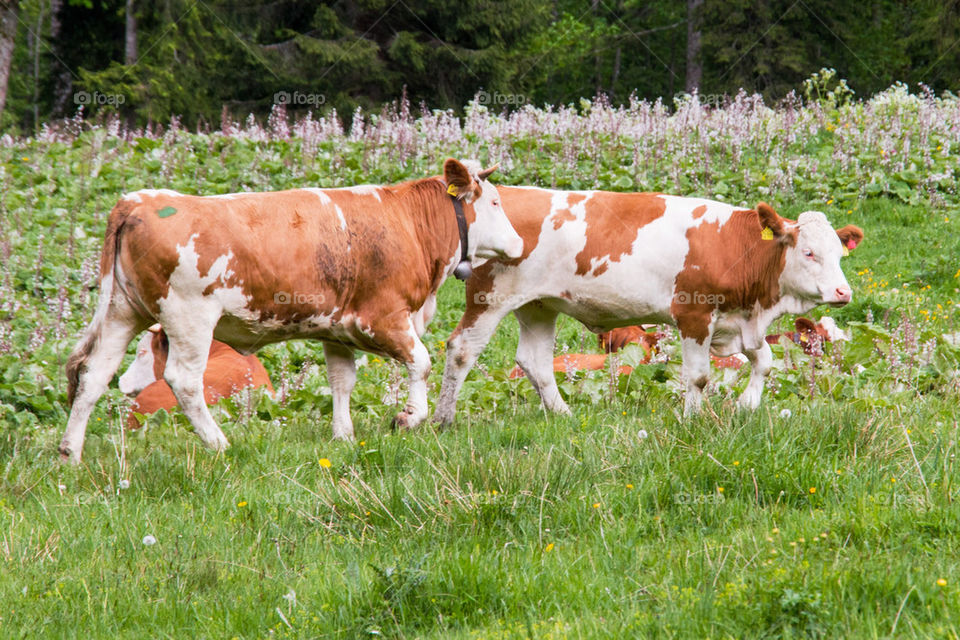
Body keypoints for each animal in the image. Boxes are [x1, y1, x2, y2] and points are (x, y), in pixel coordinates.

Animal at [436, 188, 864, 422]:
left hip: (539, 305)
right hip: (489, 298)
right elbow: (698, 376)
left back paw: (563, 414)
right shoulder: (693, 315)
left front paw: (746, 404)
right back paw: (443, 418)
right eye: (808, 252)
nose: (843, 292)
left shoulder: (738, 322)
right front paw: (693, 419)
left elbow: (766, 362)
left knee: (535, 362)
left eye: (839, 253)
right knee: (461, 350)